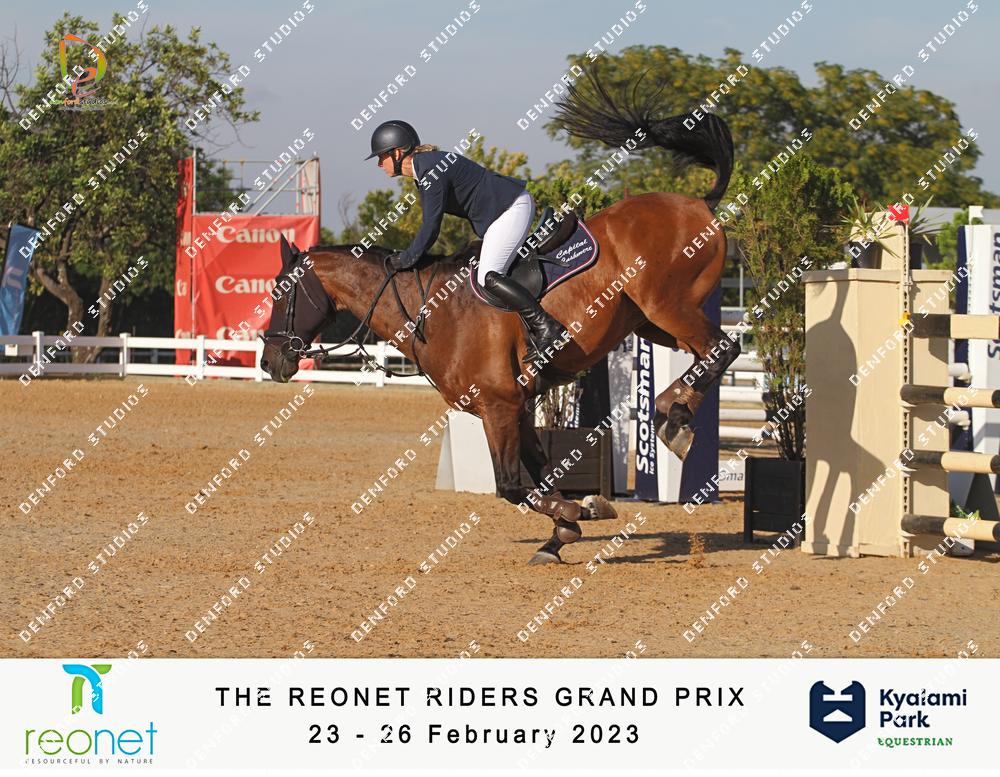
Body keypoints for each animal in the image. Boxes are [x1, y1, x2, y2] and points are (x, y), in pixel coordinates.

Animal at [259, 74, 738, 564]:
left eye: (281, 294)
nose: (269, 361)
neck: (431, 311)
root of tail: (701, 203)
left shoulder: (498, 406)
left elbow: (511, 487)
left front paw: (577, 512)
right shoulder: (519, 408)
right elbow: (542, 476)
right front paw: (565, 529)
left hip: (666, 306)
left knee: (723, 347)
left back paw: (673, 416)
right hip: (650, 323)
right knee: (708, 353)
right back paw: (673, 410)